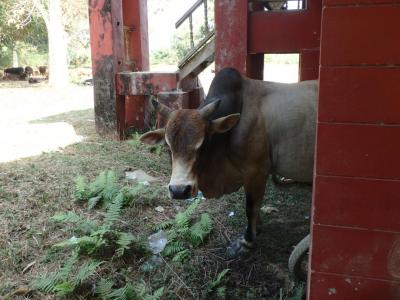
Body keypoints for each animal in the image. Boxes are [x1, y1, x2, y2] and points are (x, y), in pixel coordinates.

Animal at [139, 68, 318, 255]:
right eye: (168, 145)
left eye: (203, 144)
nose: (179, 191)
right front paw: (258, 228)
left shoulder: (256, 171)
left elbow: (251, 207)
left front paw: (247, 241)